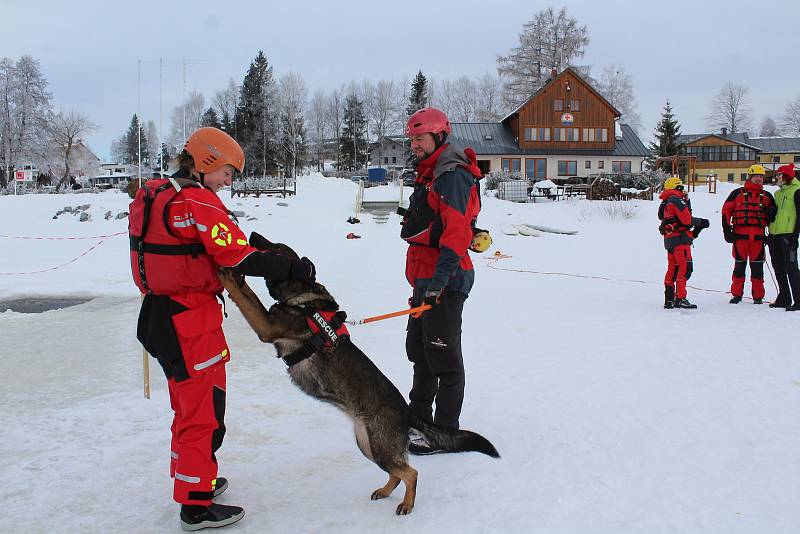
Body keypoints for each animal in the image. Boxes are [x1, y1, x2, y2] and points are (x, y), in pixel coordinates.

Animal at [216, 233, 496, 516]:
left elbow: (246, 296)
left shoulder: (266, 327)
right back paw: (385, 491)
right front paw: (231, 273)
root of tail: (407, 412)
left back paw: (407, 504)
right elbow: (246, 292)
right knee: (397, 473)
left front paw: (227, 275)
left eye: (277, 248)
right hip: (367, 445)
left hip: (379, 447)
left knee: (411, 473)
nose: (252, 236)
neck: (305, 302)